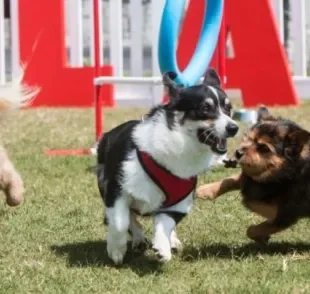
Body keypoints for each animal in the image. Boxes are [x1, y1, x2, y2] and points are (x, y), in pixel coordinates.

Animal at [97, 68, 240, 264]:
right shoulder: (116, 189)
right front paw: (116, 250)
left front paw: (162, 247)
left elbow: (165, 222)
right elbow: (120, 222)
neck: (181, 145)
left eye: (228, 108)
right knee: (129, 217)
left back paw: (171, 241)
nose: (234, 128)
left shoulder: (180, 201)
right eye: (205, 108)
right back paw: (138, 238)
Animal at [197, 105, 310, 243]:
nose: (238, 152)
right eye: (248, 138)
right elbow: (232, 179)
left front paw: (261, 237)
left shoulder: (284, 215)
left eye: (264, 148)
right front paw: (205, 190)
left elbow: (253, 226)